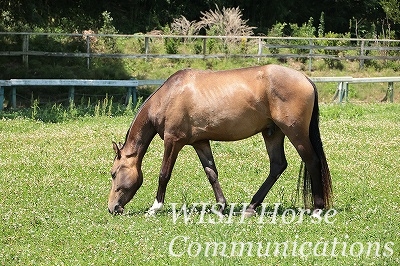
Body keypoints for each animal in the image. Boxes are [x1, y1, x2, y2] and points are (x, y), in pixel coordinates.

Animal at [108, 64, 332, 216]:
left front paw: (155, 207)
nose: (112, 208)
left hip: (295, 132)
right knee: (278, 165)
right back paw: (251, 207)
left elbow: (164, 174)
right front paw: (221, 206)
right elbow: (211, 173)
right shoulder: (200, 143)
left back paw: (317, 209)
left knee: (312, 161)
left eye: (113, 174)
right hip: (272, 133)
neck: (169, 96)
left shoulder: (173, 142)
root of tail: (305, 79)